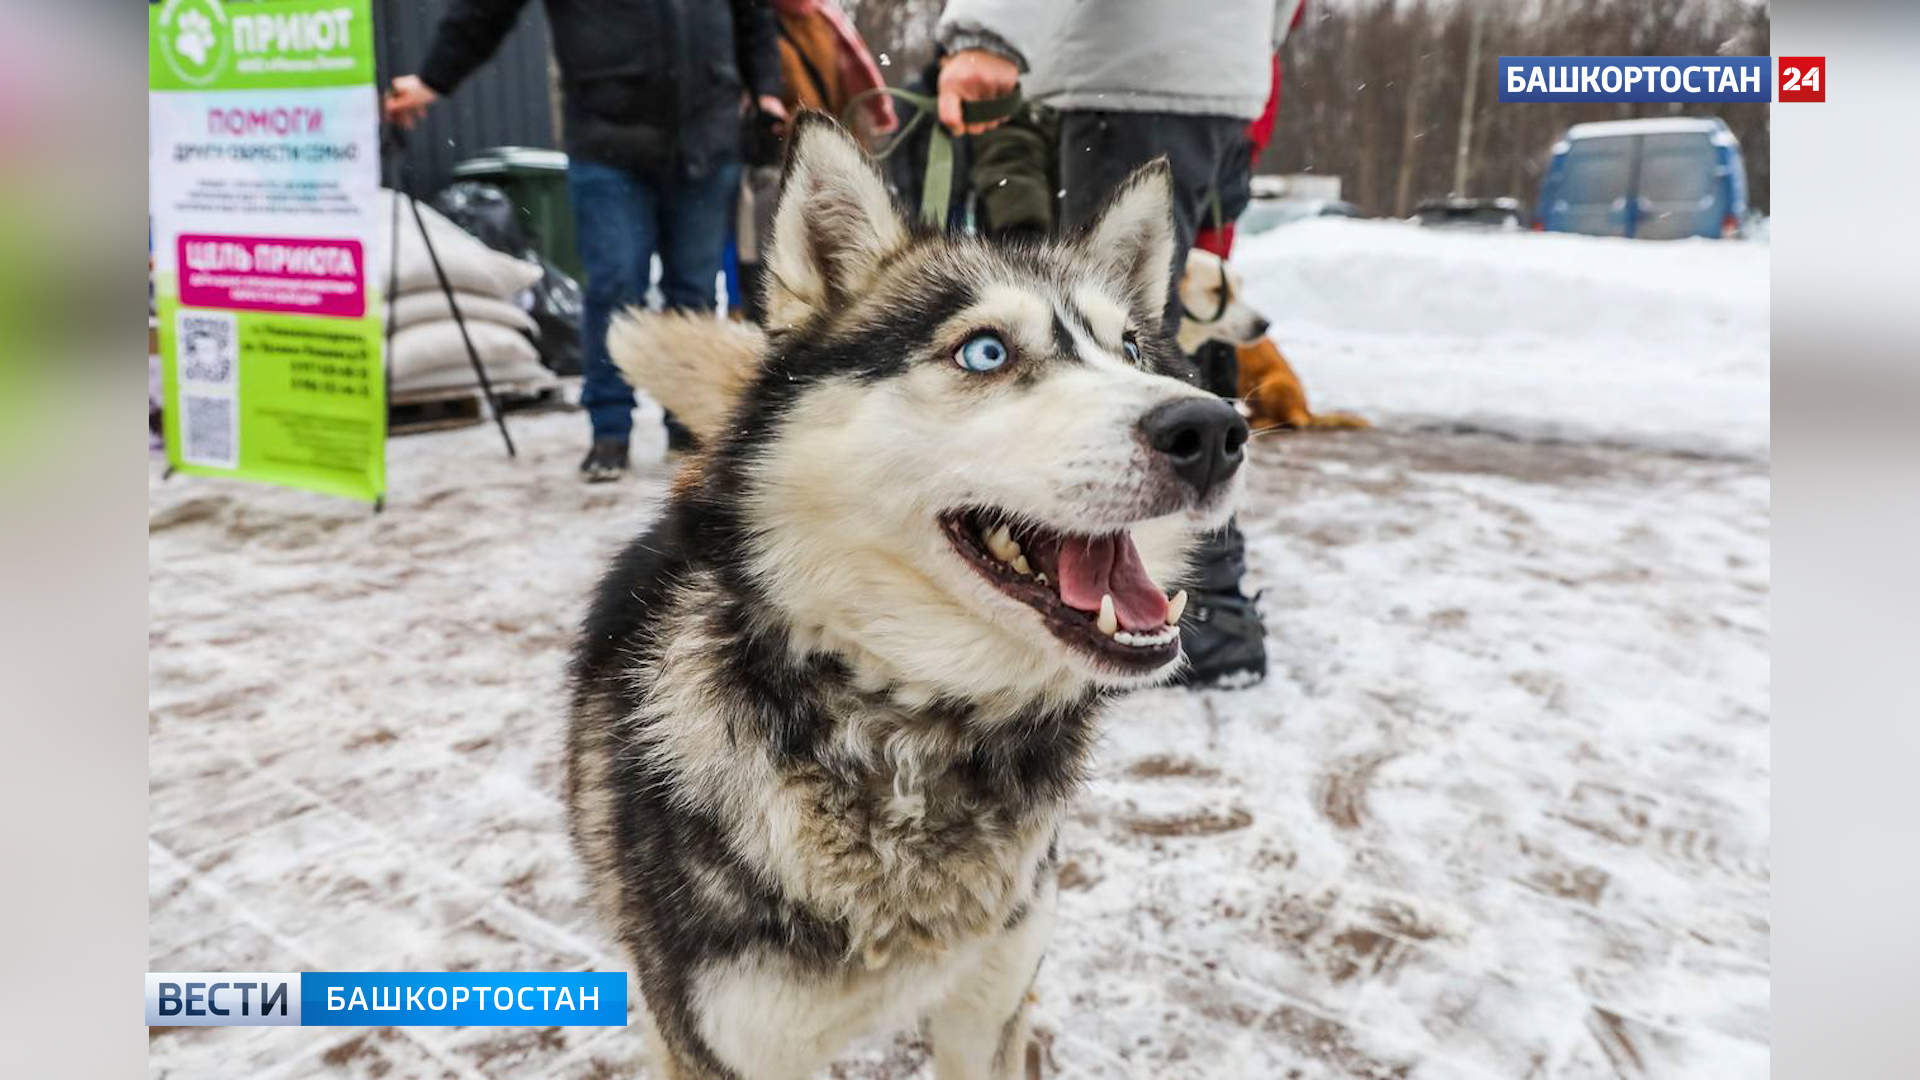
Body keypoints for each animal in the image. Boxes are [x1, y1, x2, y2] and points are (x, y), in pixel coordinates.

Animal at [560, 117, 1251, 1076]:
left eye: (1131, 350)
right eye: (986, 351)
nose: (1214, 429)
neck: (914, 731)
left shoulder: (985, 1006)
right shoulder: (732, 1043)